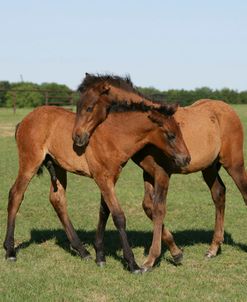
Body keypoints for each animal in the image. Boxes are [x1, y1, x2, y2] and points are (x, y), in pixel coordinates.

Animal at [3, 102, 189, 274]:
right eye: (171, 135)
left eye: (180, 132)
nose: (186, 159)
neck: (114, 136)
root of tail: (25, 120)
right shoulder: (102, 178)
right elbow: (118, 216)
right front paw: (132, 263)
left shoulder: (111, 178)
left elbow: (104, 211)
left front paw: (100, 256)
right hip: (30, 162)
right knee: (16, 194)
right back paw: (10, 250)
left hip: (58, 166)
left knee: (57, 199)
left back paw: (82, 251)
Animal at [73, 73, 247, 272]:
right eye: (77, 105)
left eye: (89, 107)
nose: (77, 137)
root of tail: (227, 108)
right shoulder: (148, 173)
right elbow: (148, 206)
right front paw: (176, 253)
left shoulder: (163, 173)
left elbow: (159, 209)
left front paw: (150, 260)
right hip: (209, 167)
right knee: (219, 193)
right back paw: (213, 248)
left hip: (234, 164)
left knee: (243, 192)